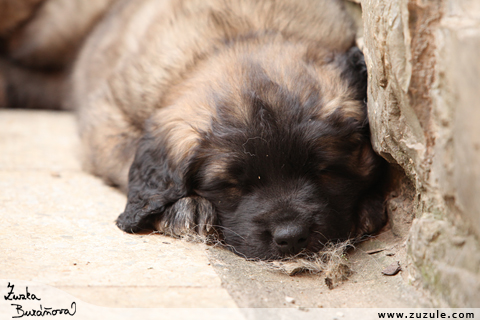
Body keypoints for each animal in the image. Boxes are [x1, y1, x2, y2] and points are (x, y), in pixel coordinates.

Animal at [3, 0, 388, 260]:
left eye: (325, 170)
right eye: (231, 185)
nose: (291, 237)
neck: (238, 37)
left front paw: (367, 207)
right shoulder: (107, 117)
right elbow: (127, 161)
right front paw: (184, 211)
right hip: (53, 31)